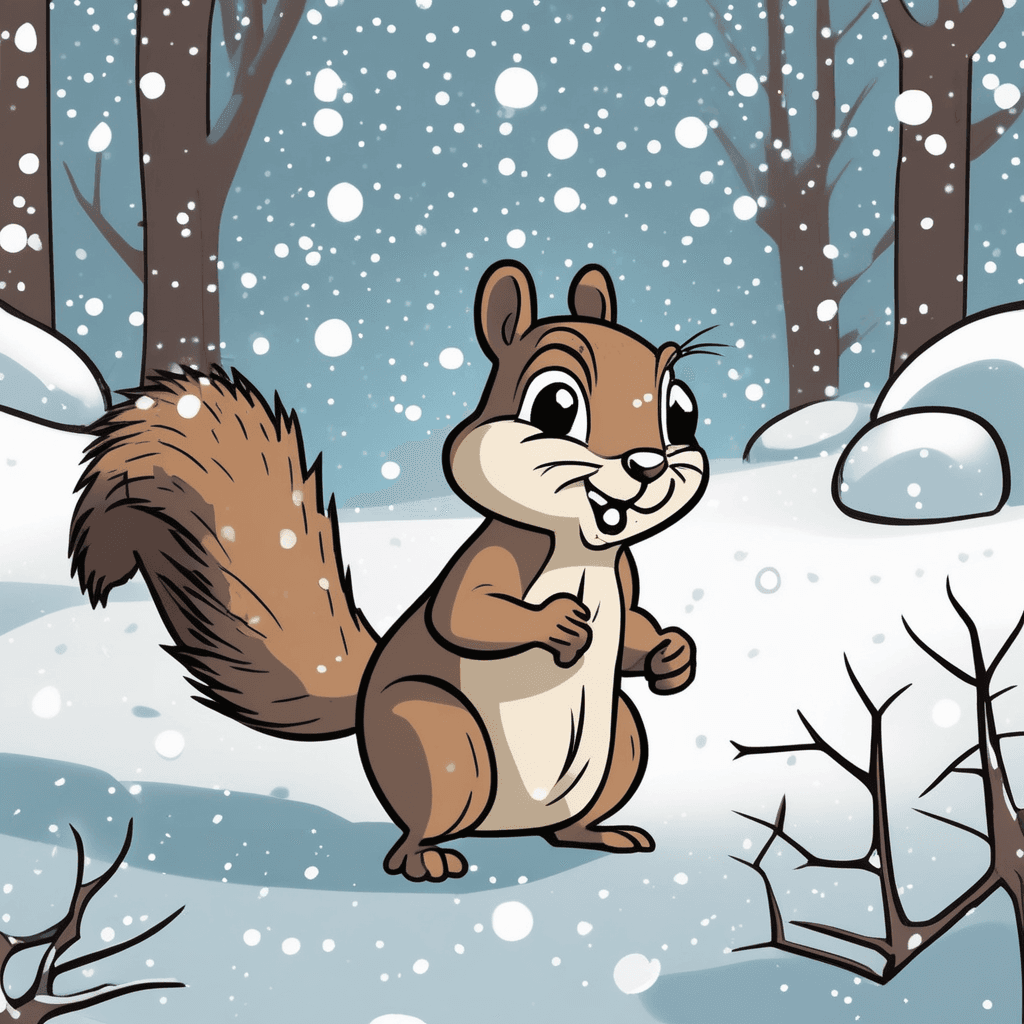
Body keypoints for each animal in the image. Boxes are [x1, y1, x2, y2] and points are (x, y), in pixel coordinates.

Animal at [69, 259, 709, 883]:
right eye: (556, 405)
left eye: (681, 410)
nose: (649, 465)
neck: (582, 547)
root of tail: (504, 828)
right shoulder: (498, 556)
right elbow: (464, 614)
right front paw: (559, 623)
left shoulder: (623, 574)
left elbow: (632, 627)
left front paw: (671, 654)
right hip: (440, 739)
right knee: (422, 825)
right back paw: (426, 859)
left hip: (620, 741)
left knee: (570, 820)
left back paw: (598, 834)